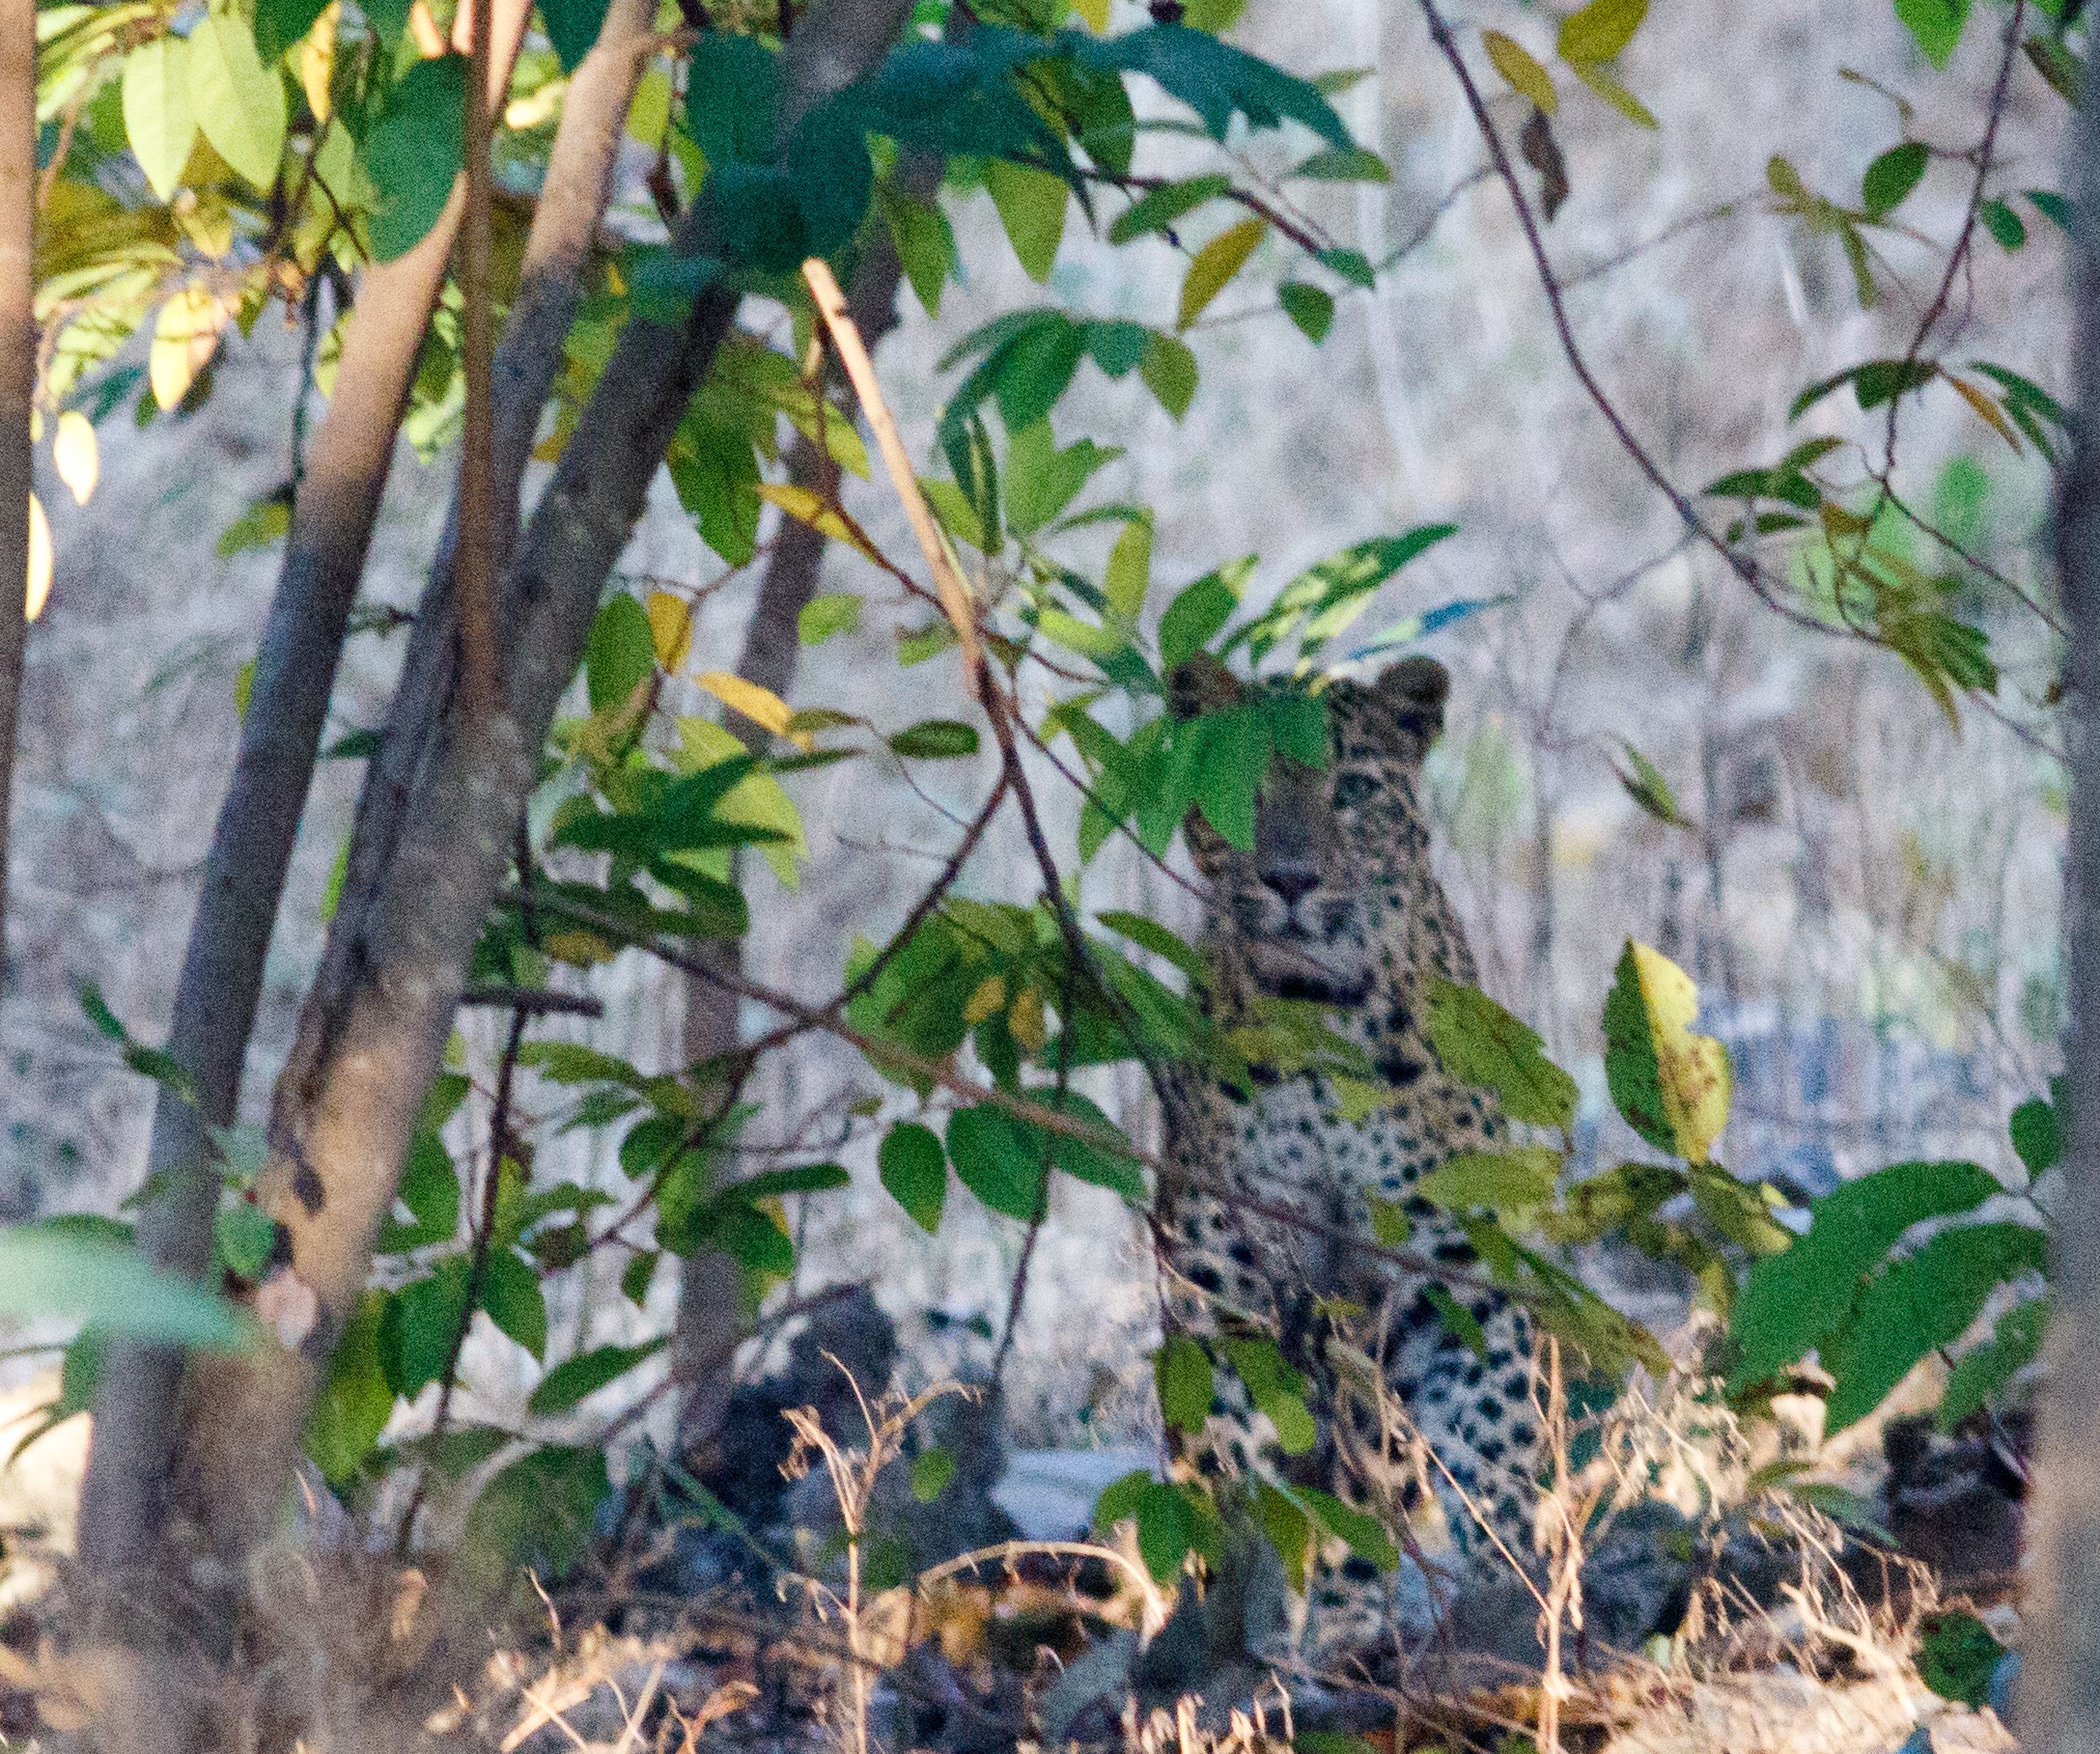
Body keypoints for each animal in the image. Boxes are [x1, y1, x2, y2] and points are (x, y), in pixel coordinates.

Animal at [1150, 651, 1545, 1663]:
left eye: (1353, 790)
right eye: (1243, 786)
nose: (1291, 878)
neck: (1316, 1016)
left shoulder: (1436, 1264)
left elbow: (1456, 1439)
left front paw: (1498, 1595)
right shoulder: (1224, 1261)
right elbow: (1240, 1451)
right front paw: (1257, 1608)